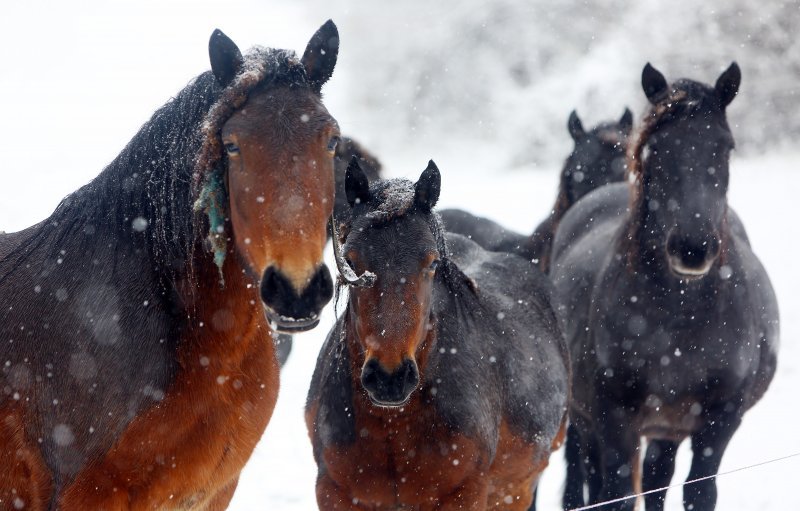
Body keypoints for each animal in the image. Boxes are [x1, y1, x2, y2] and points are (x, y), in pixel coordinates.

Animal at [304, 158, 568, 510]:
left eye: (431, 263)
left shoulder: (465, 493)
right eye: (351, 260)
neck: (393, 425)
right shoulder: (334, 492)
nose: (390, 377)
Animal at [552, 62, 780, 510]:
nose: (693, 248)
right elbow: (616, 495)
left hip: (669, 427)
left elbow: (699, 492)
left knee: (659, 476)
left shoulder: (720, 419)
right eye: (655, 147)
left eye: (725, 147)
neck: (680, 317)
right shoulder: (615, 418)